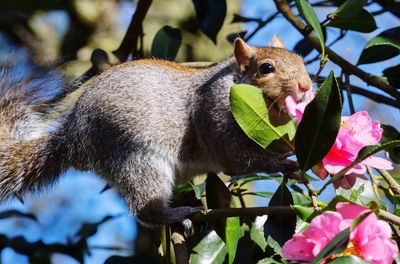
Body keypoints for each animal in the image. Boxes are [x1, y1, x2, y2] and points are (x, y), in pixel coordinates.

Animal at [0, 37, 312, 226]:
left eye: (300, 59)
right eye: (266, 68)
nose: (306, 86)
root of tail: (72, 137)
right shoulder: (213, 113)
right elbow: (234, 160)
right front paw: (281, 163)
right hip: (135, 157)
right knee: (145, 209)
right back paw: (175, 214)